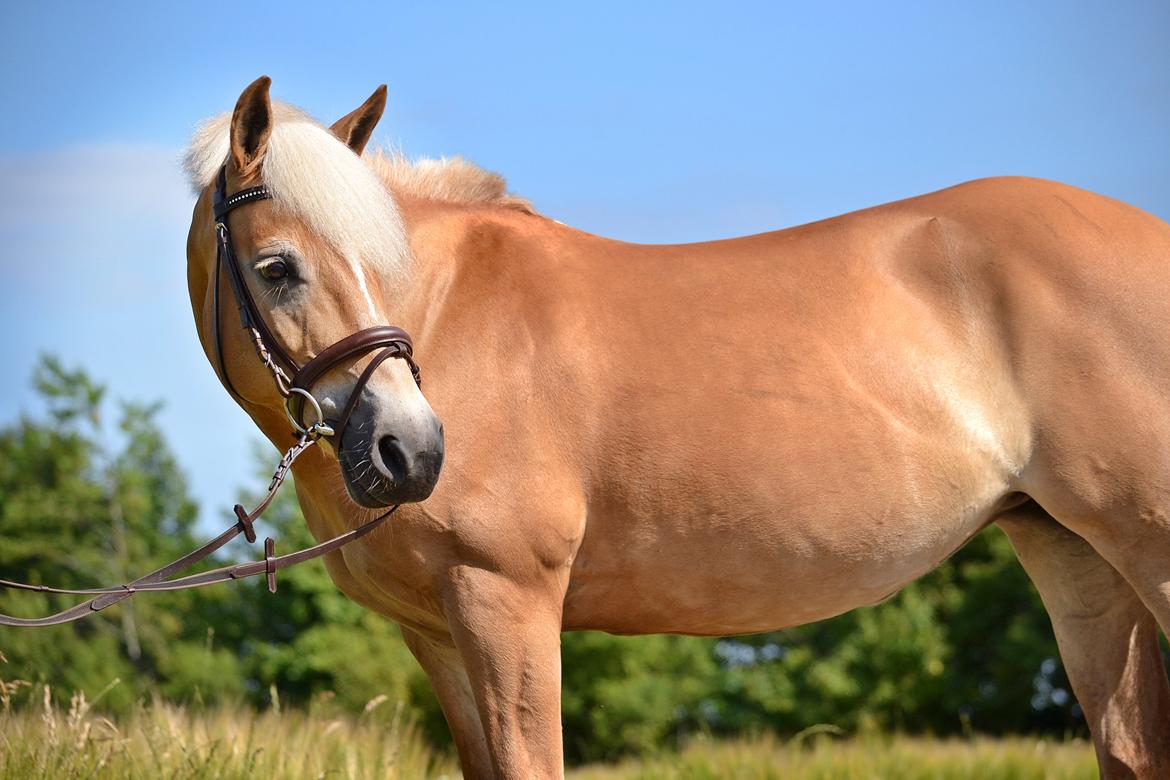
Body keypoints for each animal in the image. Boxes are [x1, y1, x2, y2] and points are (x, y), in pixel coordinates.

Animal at [182, 74, 1170, 780]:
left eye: (382, 262)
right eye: (278, 267)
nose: (412, 451)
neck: (457, 312)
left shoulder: (505, 599)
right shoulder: (435, 633)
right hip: (1074, 556)